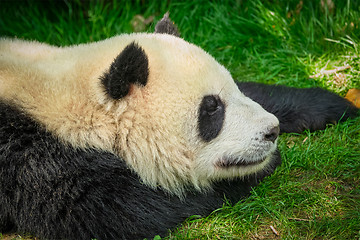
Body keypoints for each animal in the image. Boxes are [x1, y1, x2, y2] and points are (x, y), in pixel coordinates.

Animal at [0, 14, 356, 239]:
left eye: (230, 92)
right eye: (210, 110)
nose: (272, 131)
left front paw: (332, 104)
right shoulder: (35, 159)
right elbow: (122, 210)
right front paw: (251, 174)